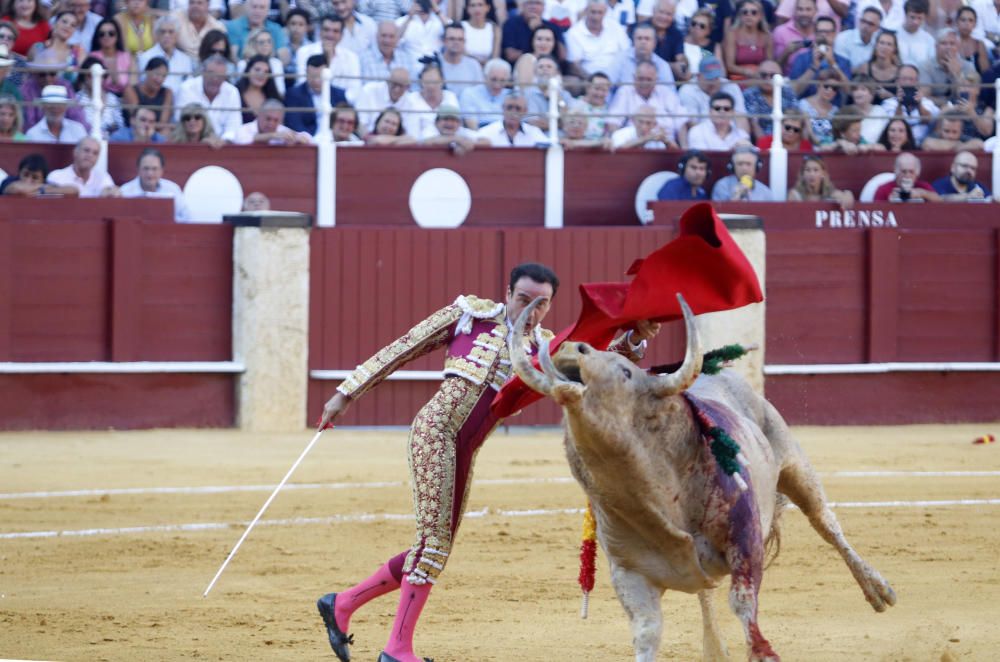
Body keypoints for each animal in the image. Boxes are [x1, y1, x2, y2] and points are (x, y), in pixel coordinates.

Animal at [512, 296, 896, 662]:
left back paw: (879, 590)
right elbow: (648, 632)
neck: (655, 500)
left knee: (827, 524)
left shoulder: (745, 540)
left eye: (625, 371)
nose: (570, 347)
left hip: (794, 463)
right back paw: (715, 649)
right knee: (705, 590)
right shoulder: (629, 571)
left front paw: (763, 652)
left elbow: (742, 600)